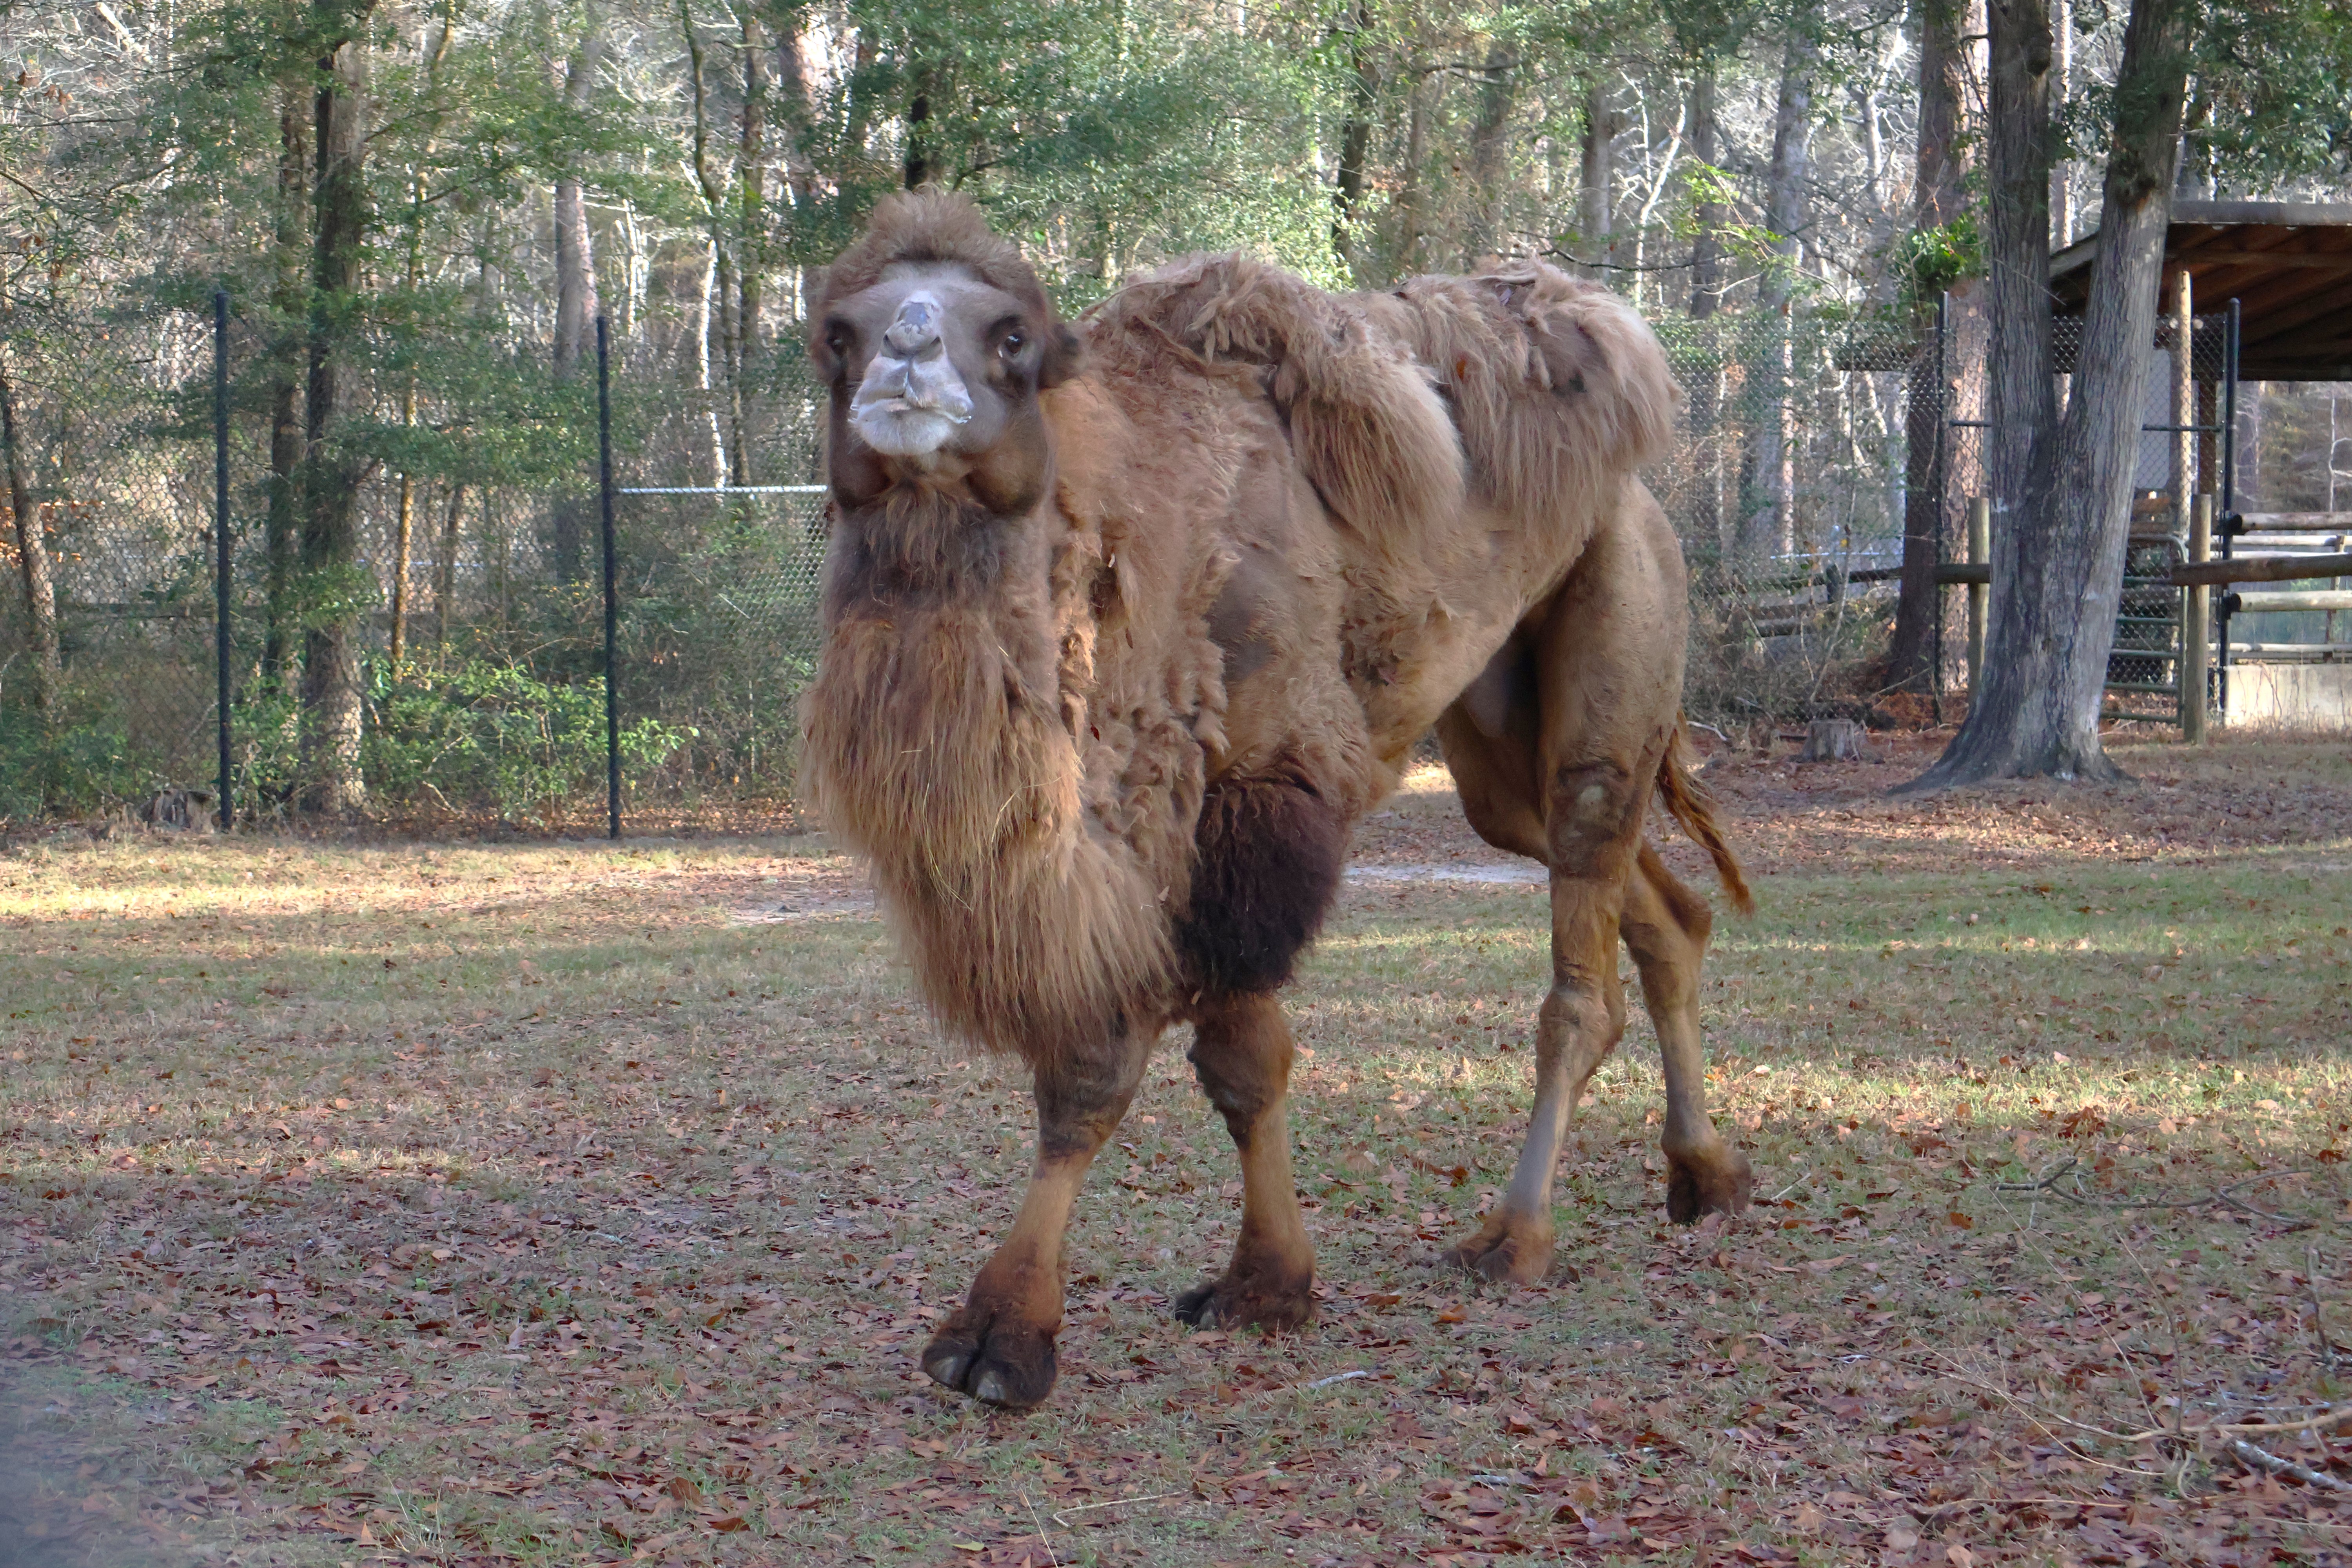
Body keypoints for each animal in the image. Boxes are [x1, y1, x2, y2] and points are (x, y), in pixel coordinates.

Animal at [800, 193, 1755, 1411]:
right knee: (1652, 905)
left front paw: (1009, 1334)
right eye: (839, 335)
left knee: (1582, 944)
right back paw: (1706, 1175)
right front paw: (1265, 1285)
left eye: (1011, 336)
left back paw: (1515, 1238)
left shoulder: (1258, 796)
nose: (907, 361)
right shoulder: (1165, 826)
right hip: (1498, 757)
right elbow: (1214, 1060)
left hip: (1618, 610)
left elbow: (1148, 1066)